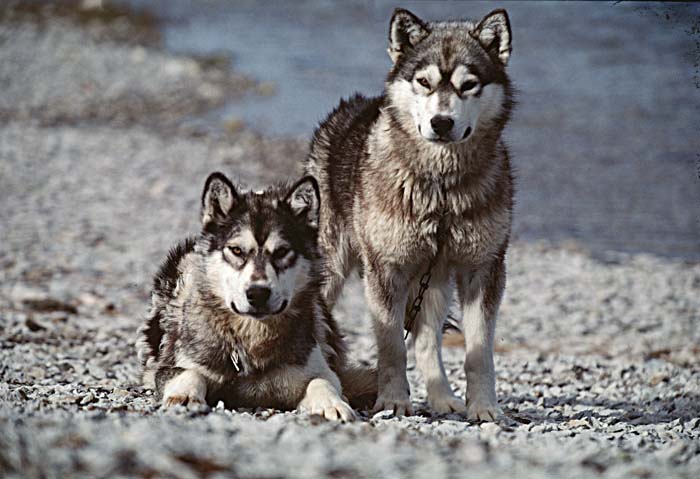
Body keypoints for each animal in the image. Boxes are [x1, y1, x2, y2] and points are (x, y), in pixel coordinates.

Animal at [138, 172, 378, 420]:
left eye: (282, 251)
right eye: (236, 250)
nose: (258, 293)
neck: (253, 337)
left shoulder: (312, 371)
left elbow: (321, 381)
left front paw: (332, 403)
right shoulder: (171, 368)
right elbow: (189, 373)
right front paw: (184, 397)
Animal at [306, 7, 516, 420]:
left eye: (469, 85)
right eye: (424, 82)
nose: (441, 123)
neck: (442, 191)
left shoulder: (482, 269)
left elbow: (478, 351)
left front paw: (483, 406)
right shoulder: (386, 269)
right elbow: (391, 346)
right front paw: (393, 400)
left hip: (435, 280)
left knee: (426, 339)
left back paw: (442, 397)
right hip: (333, 267)